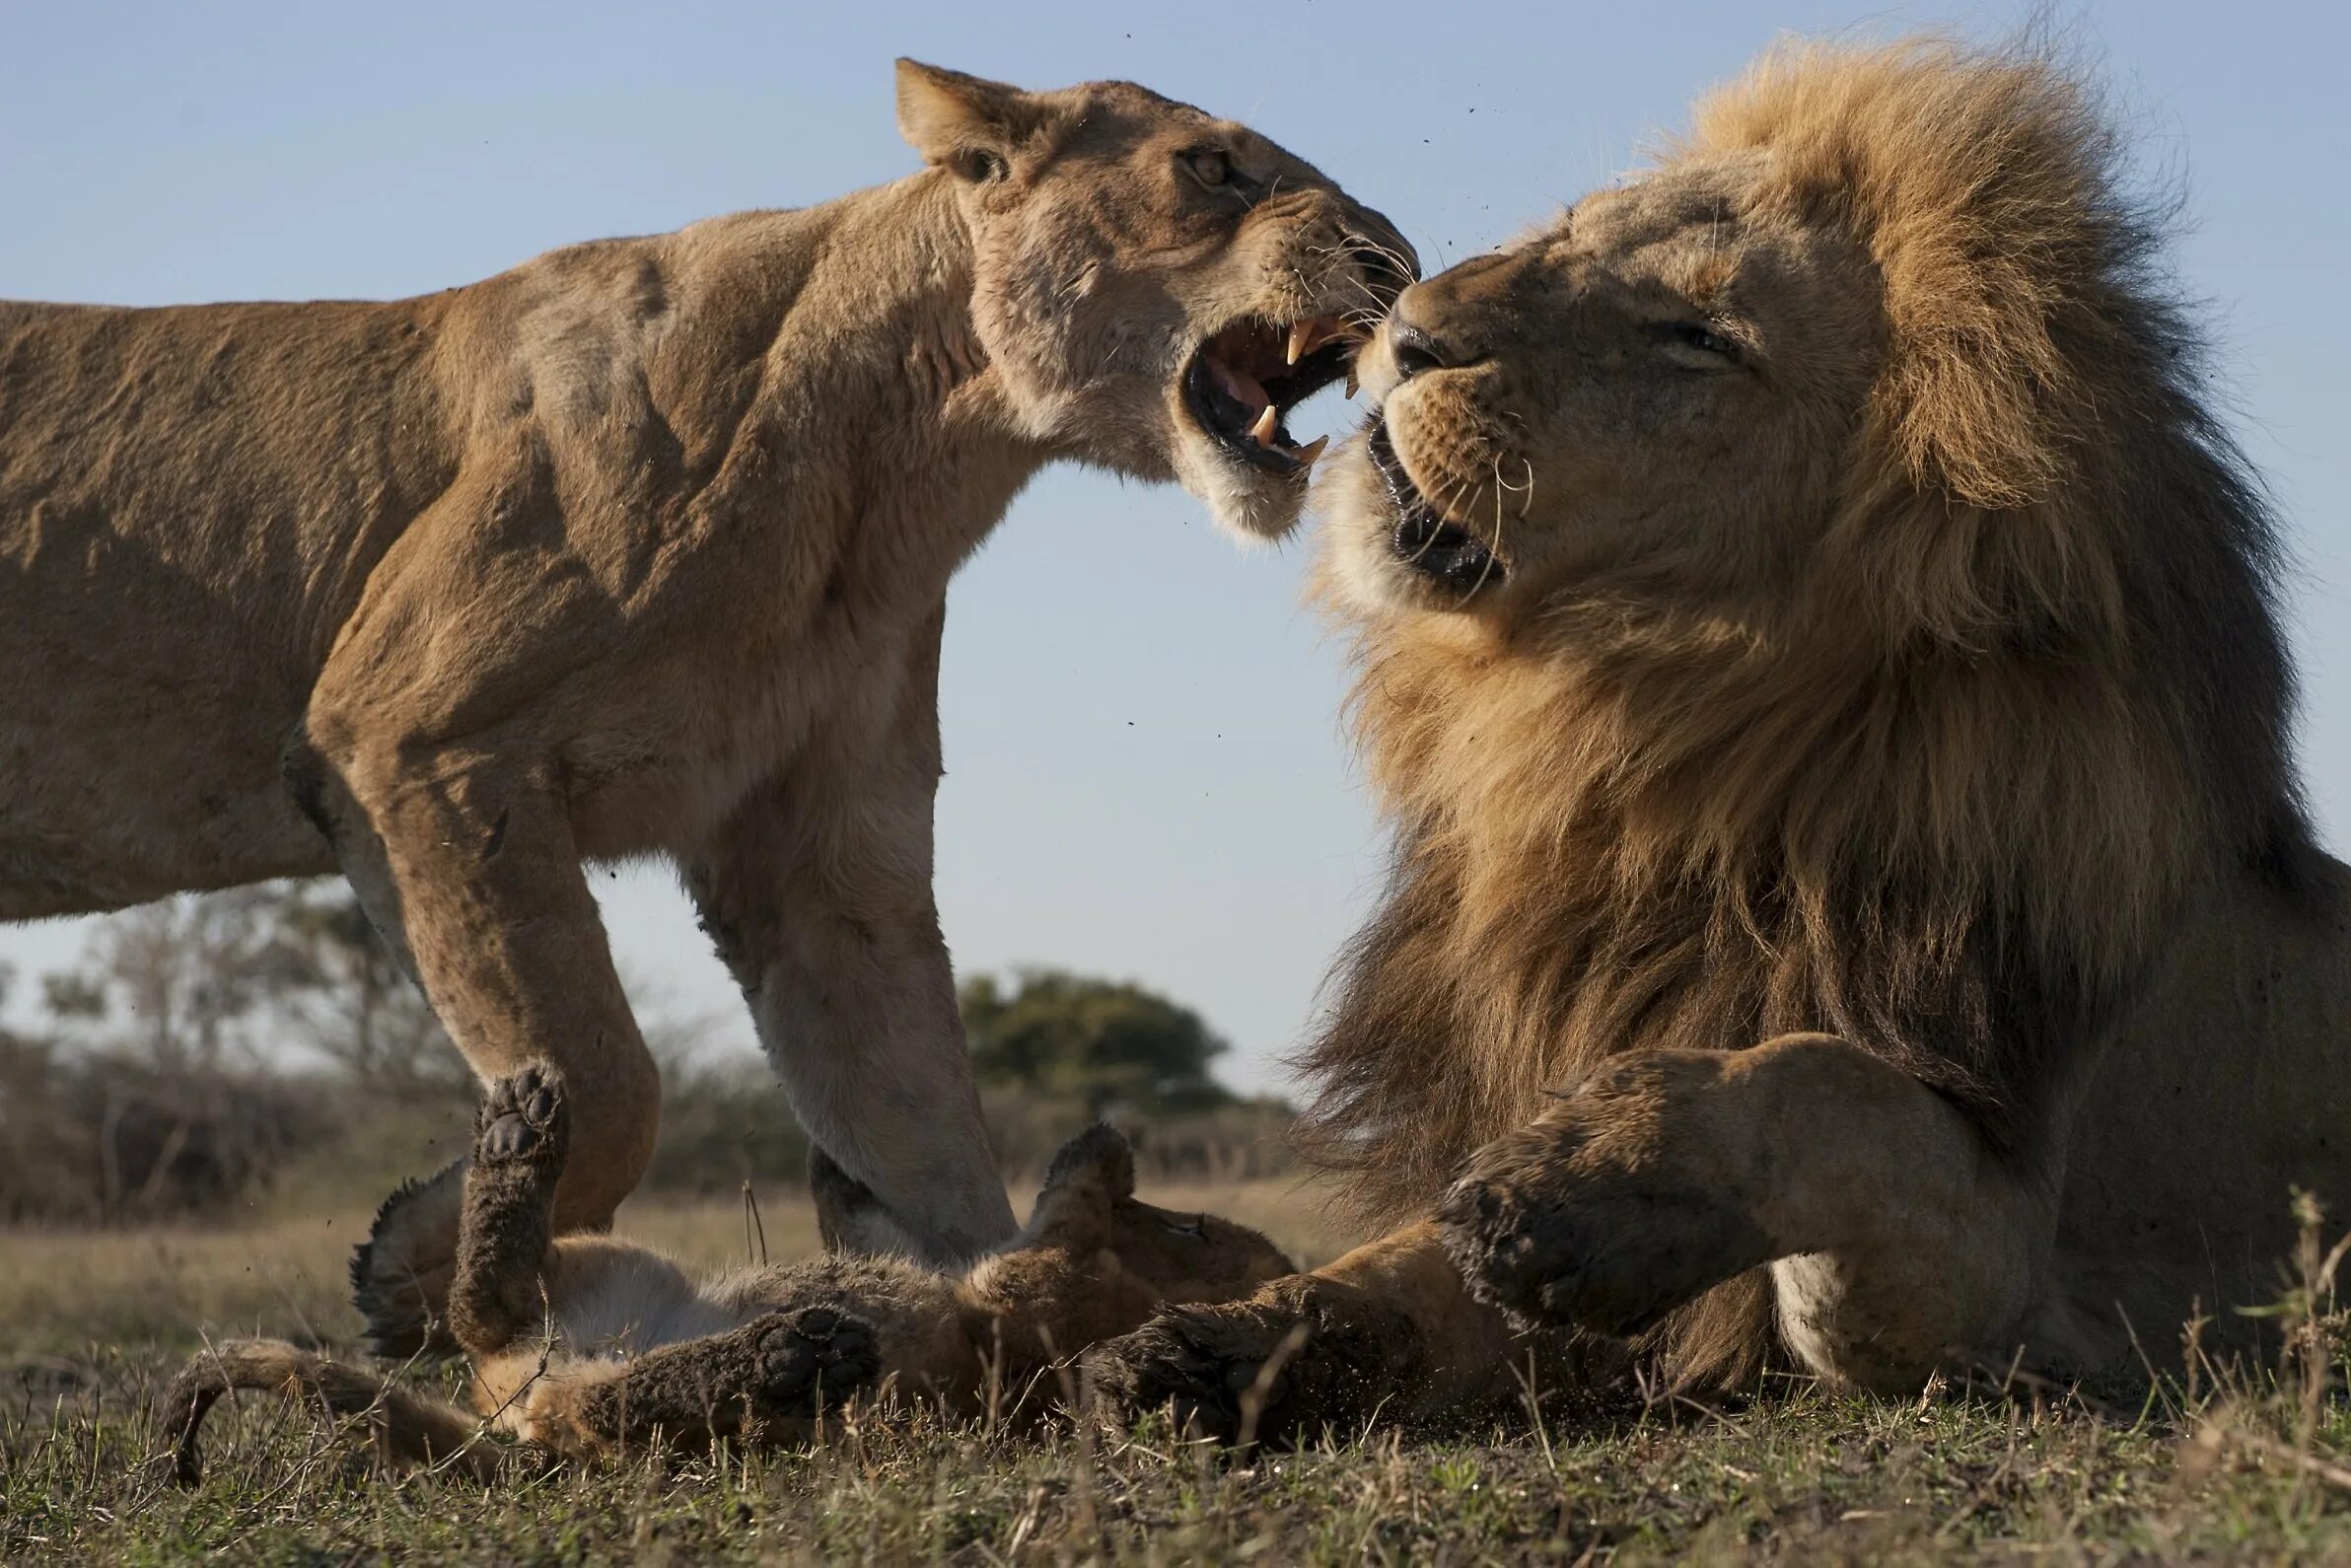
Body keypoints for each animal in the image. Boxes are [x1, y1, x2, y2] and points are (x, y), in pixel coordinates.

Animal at [0, 67, 1410, 1354]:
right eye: (1212, 167)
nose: (1394, 262)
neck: (903, 453)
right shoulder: (412, 738)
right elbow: (607, 1082)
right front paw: (416, 1261)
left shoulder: (822, 848)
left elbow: (919, 1119)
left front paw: (995, 1309)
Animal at [1095, 39, 2351, 1438]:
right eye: (1573, 228)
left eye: (1695, 338)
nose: (1406, 332)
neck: (1644, 771)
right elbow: (1391, 1276)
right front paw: (1214, 1344)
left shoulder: (2031, 1296)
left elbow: (1827, 1082)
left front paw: (1579, 1183)